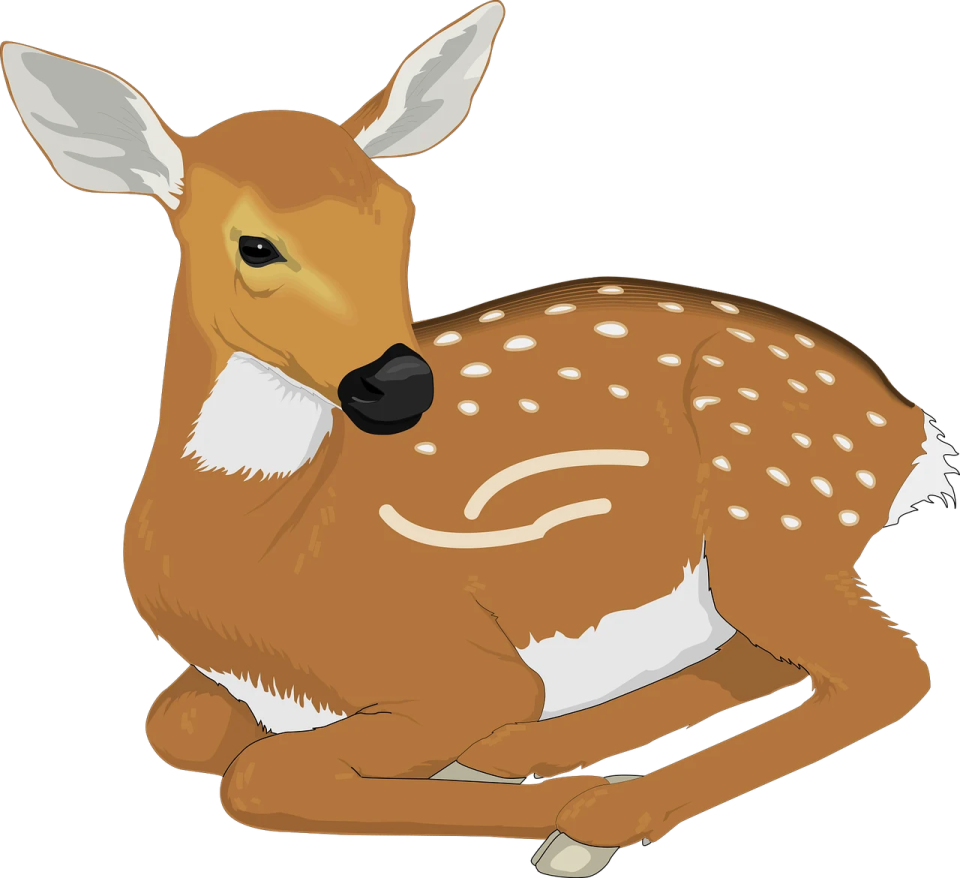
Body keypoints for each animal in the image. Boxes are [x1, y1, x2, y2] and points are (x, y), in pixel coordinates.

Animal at [3, 3, 953, 875]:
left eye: (401, 215)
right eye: (256, 245)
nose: (398, 384)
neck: (272, 548)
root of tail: (911, 427)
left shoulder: (458, 661)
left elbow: (259, 774)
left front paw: (546, 805)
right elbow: (178, 728)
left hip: (772, 508)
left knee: (888, 673)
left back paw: (588, 809)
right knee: (777, 660)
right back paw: (534, 756)